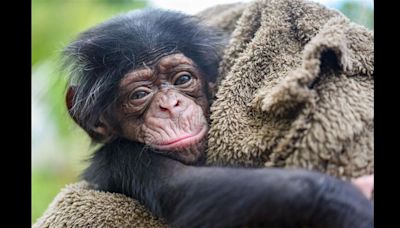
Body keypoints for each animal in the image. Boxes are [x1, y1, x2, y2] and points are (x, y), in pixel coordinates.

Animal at [64, 8, 374, 228]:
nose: (170, 105)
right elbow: (185, 187)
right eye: (140, 94)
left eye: (182, 79)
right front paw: (347, 203)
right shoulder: (122, 158)